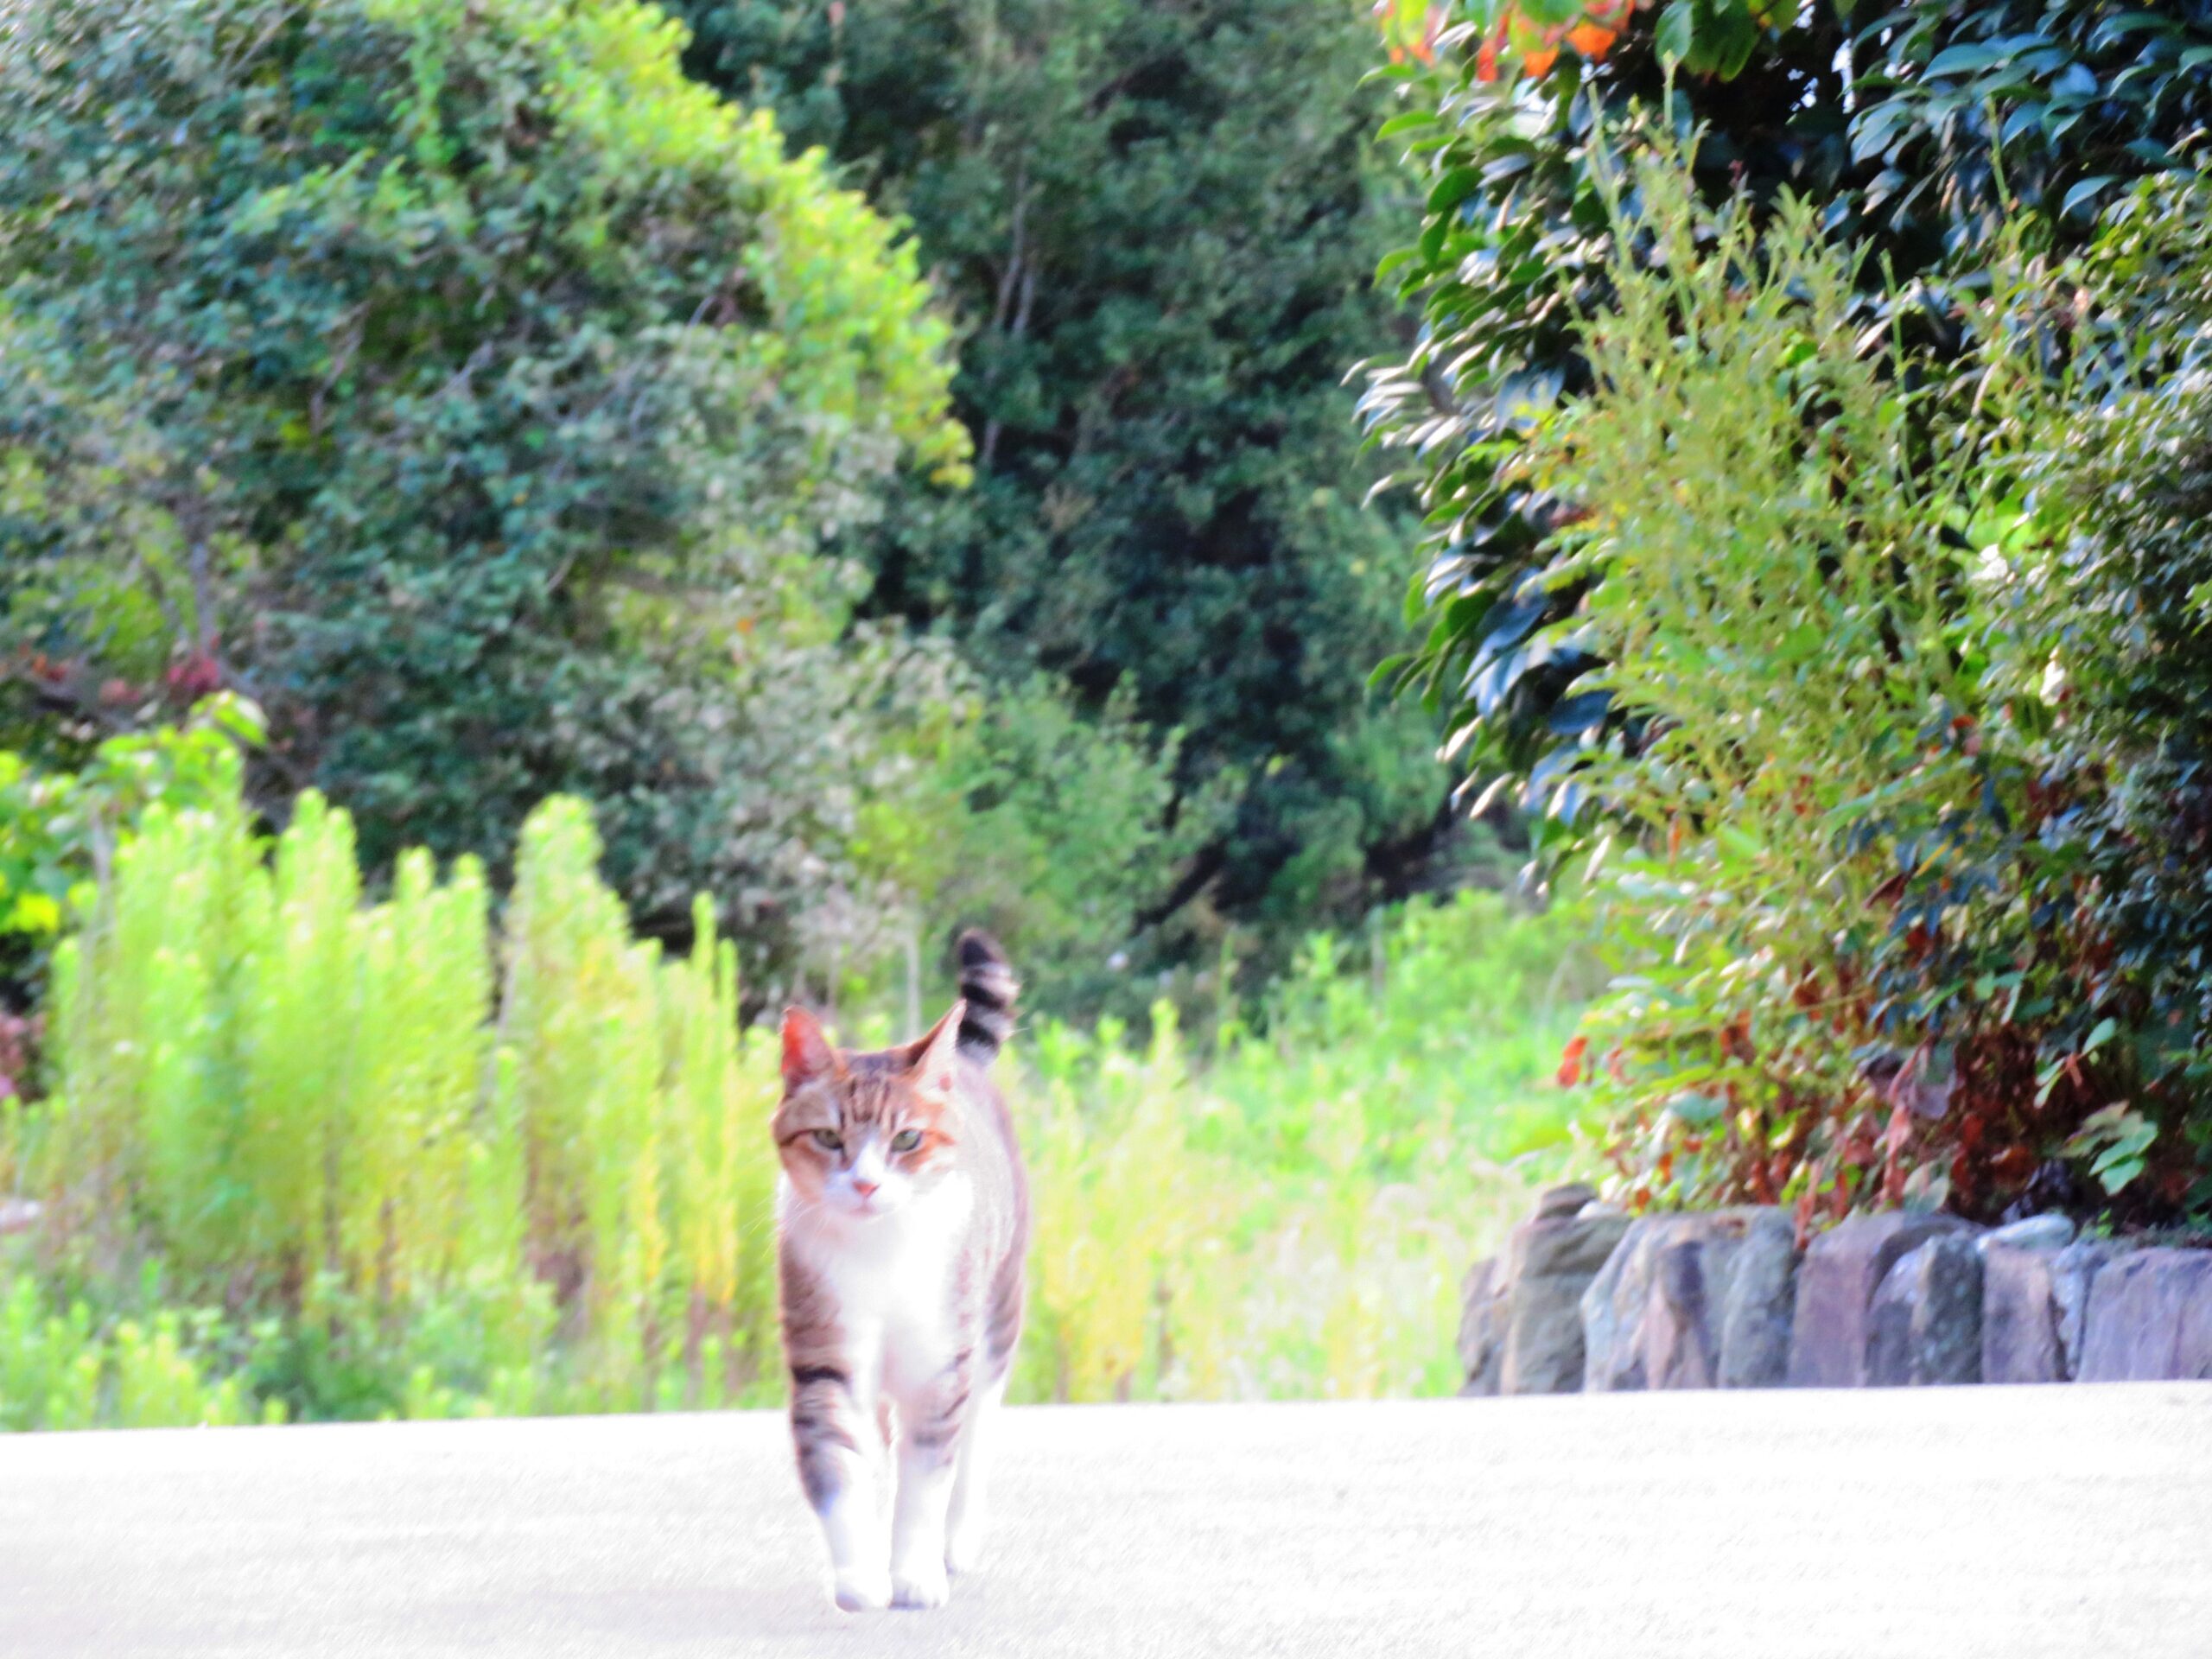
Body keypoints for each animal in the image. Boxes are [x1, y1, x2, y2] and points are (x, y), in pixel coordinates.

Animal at [769, 929, 1026, 1618]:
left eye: (907, 1140)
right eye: (829, 1138)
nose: (865, 1183)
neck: (878, 1248)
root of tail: (964, 1067)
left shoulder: (937, 1366)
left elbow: (925, 1484)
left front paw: (914, 1574)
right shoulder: (826, 1360)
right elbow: (838, 1470)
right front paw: (860, 1576)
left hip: (995, 1324)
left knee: (977, 1437)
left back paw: (956, 1543)